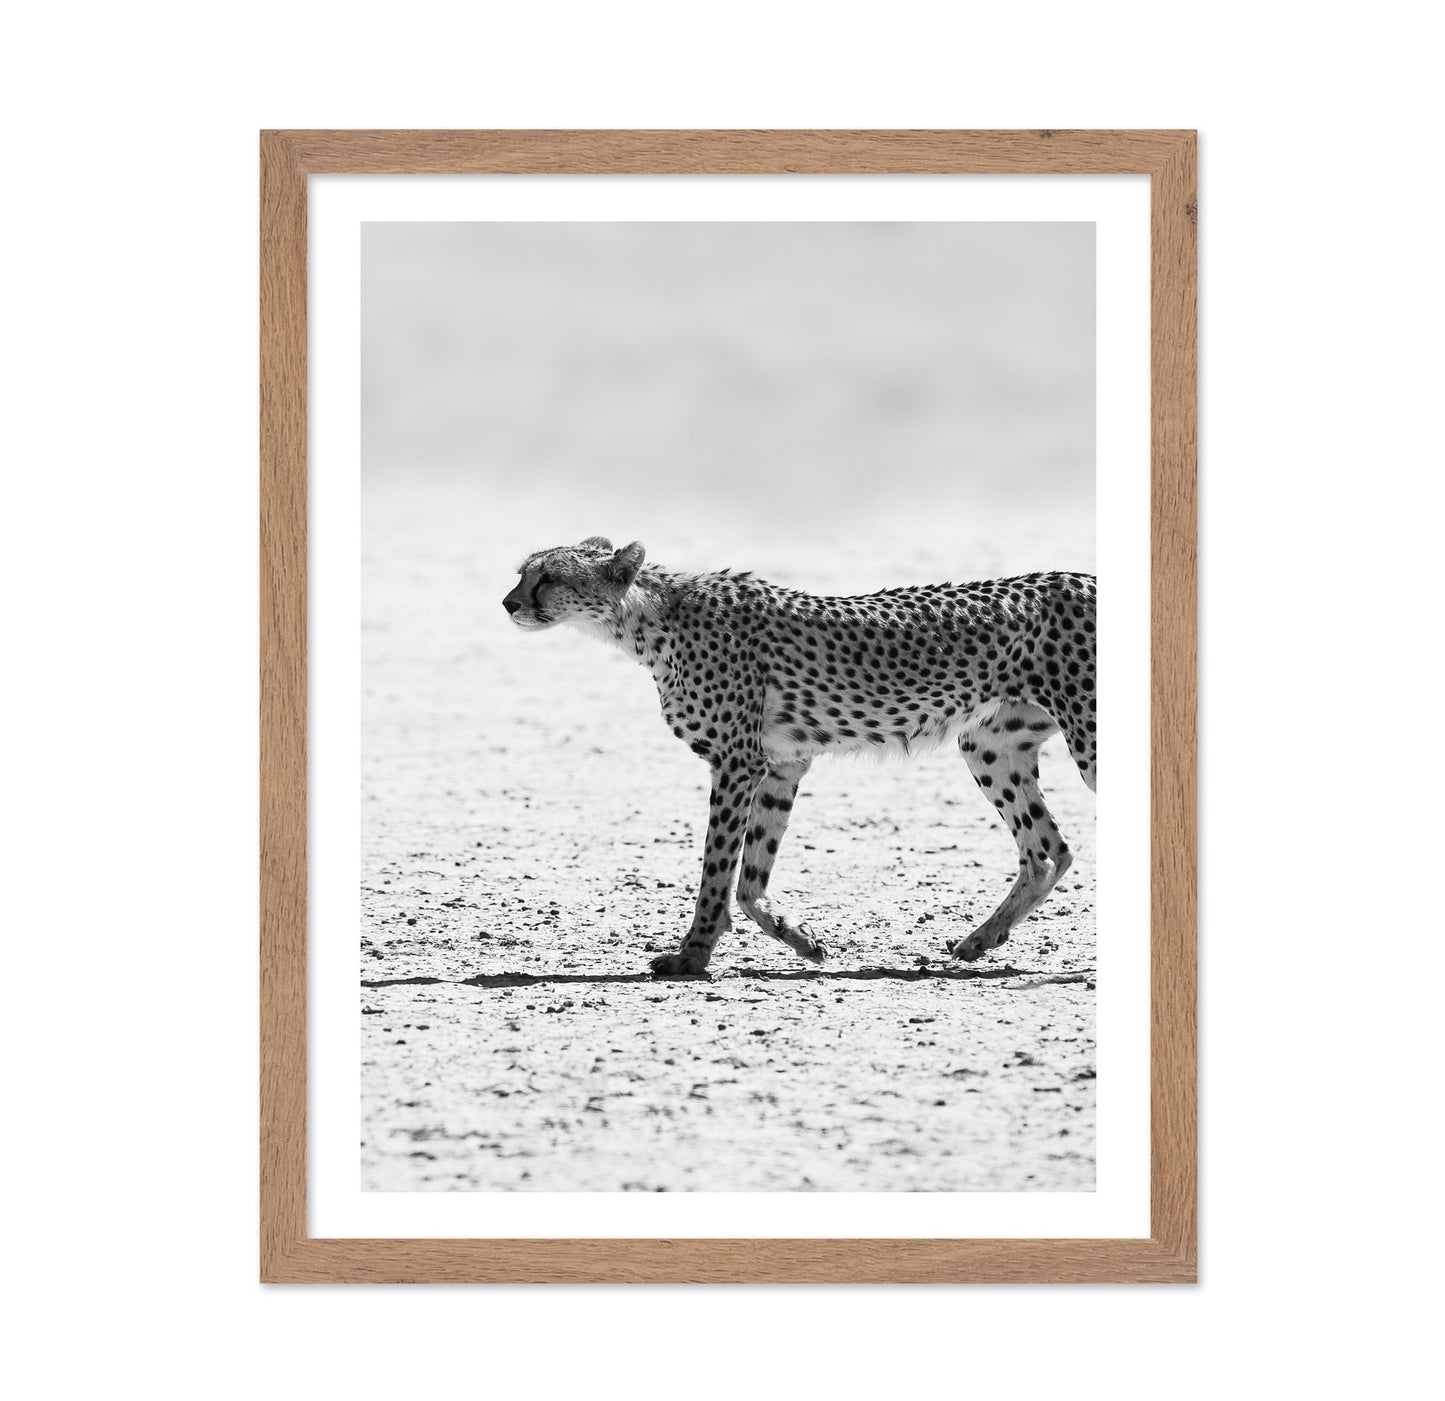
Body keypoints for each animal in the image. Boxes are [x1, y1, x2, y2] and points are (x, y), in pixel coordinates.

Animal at [503, 536, 1096, 977]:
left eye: (548, 577)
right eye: (522, 573)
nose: (509, 603)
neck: (648, 620)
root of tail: (1083, 576)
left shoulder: (738, 761)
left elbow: (717, 868)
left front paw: (692, 955)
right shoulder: (781, 763)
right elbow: (751, 877)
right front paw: (802, 941)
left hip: (1086, 738)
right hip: (989, 745)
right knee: (1048, 850)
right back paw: (980, 940)